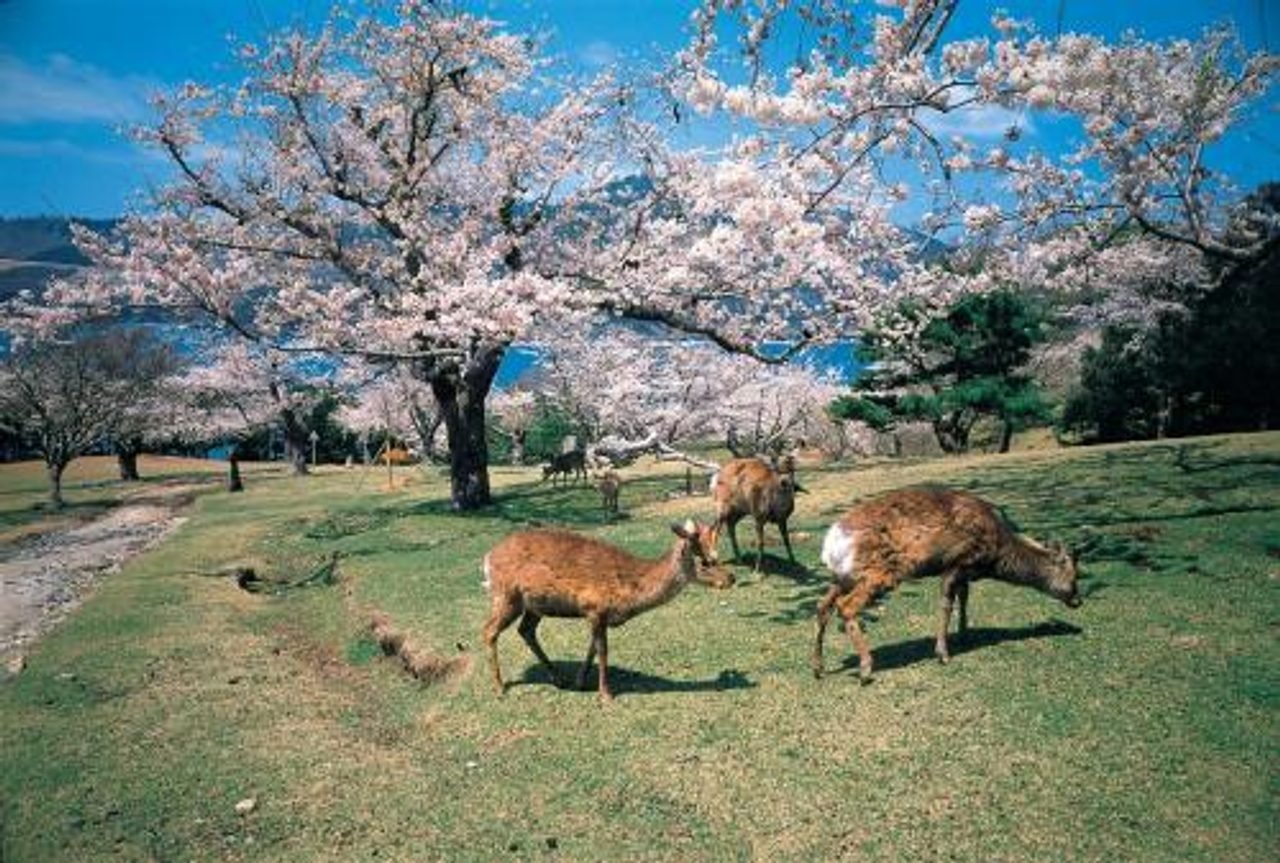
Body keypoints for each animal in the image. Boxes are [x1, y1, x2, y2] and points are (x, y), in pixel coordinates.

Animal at [481, 519, 727, 701]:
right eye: (705, 562)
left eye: (717, 555)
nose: (731, 578)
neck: (628, 595)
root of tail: (487, 558)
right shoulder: (595, 608)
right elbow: (603, 650)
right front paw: (606, 694)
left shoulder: (600, 617)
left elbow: (592, 648)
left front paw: (580, 682)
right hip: (506, 595)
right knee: (489, 631)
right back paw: (499, 687)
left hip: (534, 604)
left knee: (525, 630)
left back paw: (558, 678)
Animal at [813, 487, 1081, 683]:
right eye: (1074, 574)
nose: (1078, 600)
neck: (996, 555)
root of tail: (829, 546)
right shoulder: (957, 562)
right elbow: (946, 603)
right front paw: (943, 654)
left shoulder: (964, 572)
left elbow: (964, 597)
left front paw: (964, 634)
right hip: (880, 573)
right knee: (845, 606)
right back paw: (866, 669)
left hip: (843, 577)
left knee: (822, 605)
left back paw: (818, 668)